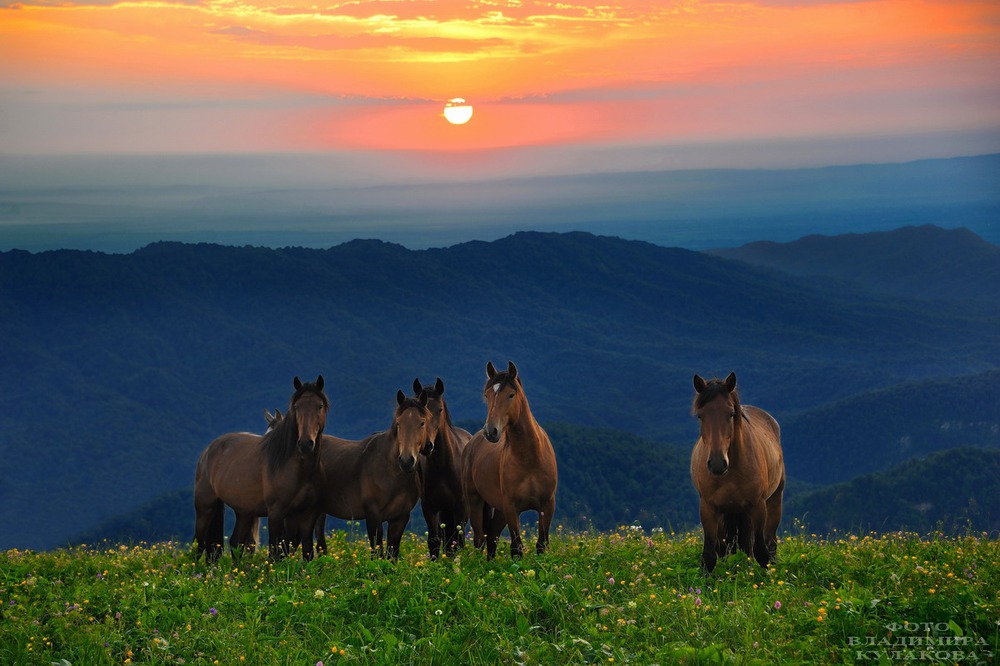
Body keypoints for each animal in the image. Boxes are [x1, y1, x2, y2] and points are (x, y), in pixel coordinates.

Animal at [196, 374, 332, 560]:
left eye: (320, 406)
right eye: (296, 407)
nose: (305, 443)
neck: (297, 469)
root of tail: (207, 451)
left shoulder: (307, 515)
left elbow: (306, 552)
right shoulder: (276, 513)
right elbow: (276, 552)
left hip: (243, 512)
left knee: (236, 543)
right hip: (204, 508)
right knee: (199, 546)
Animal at [314, 390, 432, 560]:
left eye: (422, 423)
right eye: (398, 423)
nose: (406, 461)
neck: (390, 474)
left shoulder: (400, 518)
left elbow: (392, 555)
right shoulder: (373, 516)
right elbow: (377, 553)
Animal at [416, 376, 474, 556]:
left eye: (440, 410)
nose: (427, 445)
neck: (442, 466)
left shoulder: (460, 506)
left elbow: (458, 542)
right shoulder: (429, 506)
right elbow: (434, 541)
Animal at [460, 360, 556, 556]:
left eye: (511, 395)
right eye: (487, 395)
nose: (491, 431)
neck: (530, 459)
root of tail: (472, 442)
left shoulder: (547, 505)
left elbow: (541, 544)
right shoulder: (512, 507)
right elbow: (516, 548)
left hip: (499, 510)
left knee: (492, 539)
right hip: (475, 502)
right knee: (480, 539)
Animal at [692, 374, 784, 572]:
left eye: (731, 414)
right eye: (700, 415)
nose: (717, 463)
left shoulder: (758, 506)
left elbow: (761, 553)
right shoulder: (708, 508)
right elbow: (709, 557)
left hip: (773, 501)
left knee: (769, 544)